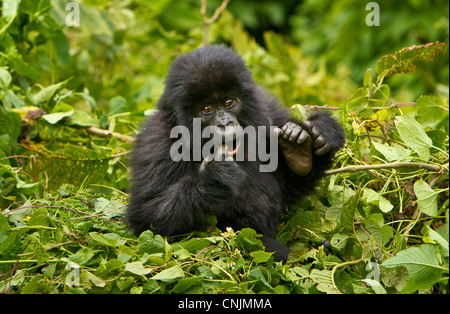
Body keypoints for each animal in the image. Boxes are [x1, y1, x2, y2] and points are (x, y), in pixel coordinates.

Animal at [126, 45, 344, 262]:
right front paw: (214, 177)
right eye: (207, 109)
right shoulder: (156, 144)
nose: (225, 123)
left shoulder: (267, 110)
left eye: (228, 102)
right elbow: (146, 219)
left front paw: (315, 138)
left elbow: (288, 191)